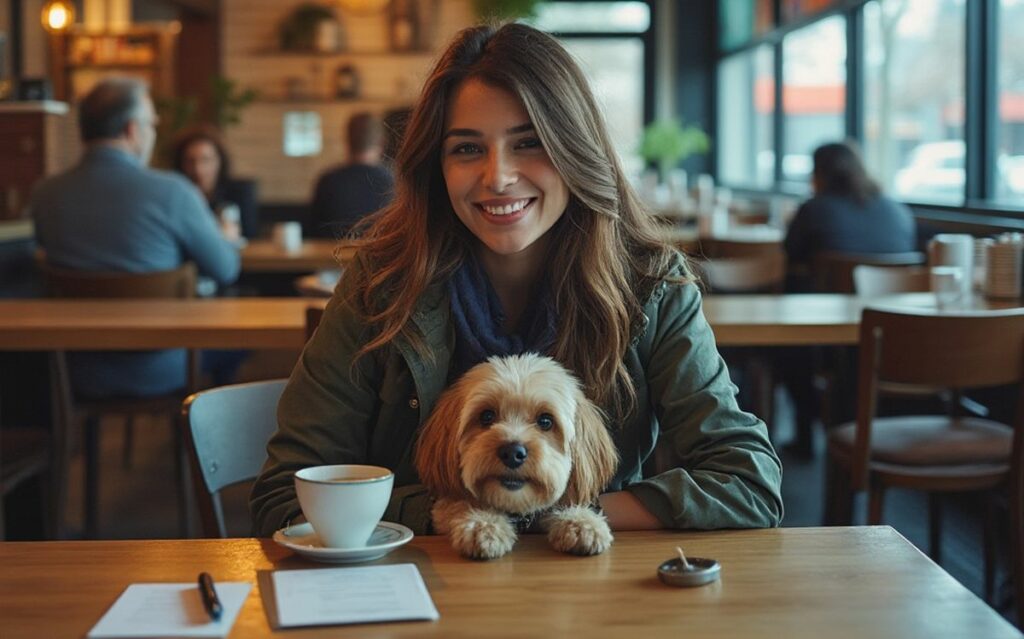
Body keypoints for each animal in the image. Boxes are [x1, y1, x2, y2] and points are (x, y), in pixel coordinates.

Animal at [413, 354, 614, 557]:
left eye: (546, 421)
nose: (513, 453)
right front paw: (484, 523)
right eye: (486, 416)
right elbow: (457, 505)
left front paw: (581, 521)